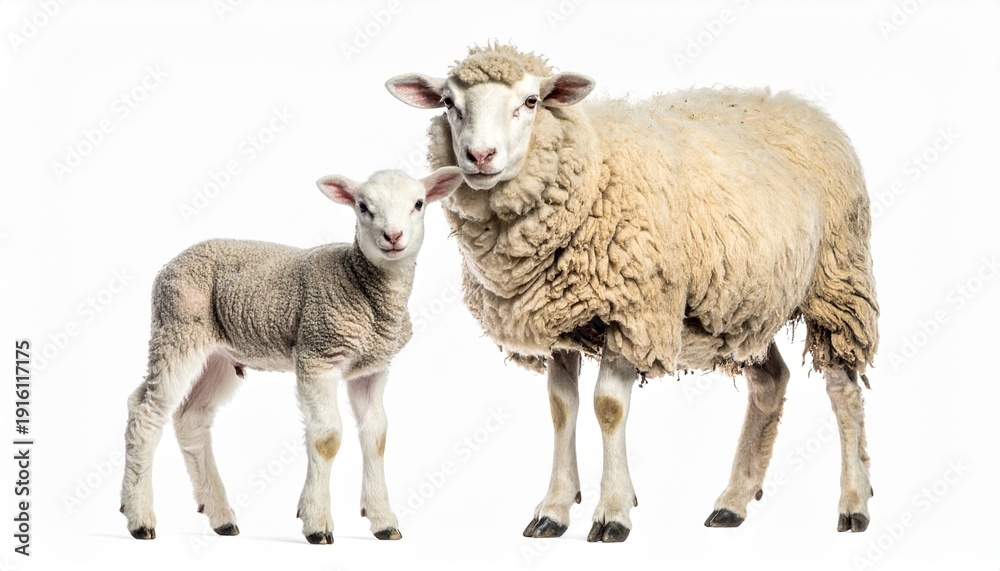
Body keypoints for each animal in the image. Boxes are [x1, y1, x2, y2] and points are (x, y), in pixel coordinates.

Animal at [119, 167, 464, 544]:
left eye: (418, 204)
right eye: (362, 206)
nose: (393, 236)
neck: (360, 285)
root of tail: (170, 264)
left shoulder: (371, 368)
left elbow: (377, 436)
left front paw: (384, 521)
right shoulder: (318, 353)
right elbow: (327, 438)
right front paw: (317, 523)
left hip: (218, 356)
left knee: (190, 419)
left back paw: (220, 516)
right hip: (178, 329)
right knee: (146, 413)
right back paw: (139, 518)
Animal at [386, 44, 879, 542]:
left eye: (531, 101)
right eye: (448, 102)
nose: (480, 155)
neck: (593, 167)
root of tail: (800, 105)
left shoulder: (633, 312)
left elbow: (607, 407)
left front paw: (613, 511)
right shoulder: (560, 321)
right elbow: (561, 409)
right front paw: (554, 509)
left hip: (837, 285)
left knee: (844, 391)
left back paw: (854, 503)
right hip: (743, 307)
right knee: (770, 382)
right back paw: (734, 502)